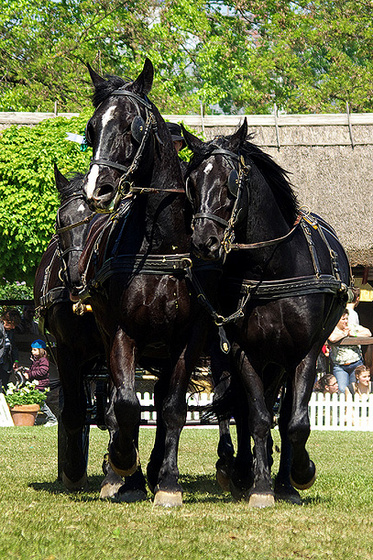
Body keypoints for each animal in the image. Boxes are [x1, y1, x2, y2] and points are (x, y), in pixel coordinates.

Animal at [34, 168, 146, 500]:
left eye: (98, 219)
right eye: (61, 220)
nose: (74, 274)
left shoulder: (116, 344)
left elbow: (117, 410)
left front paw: (119, 472)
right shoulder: (65, 350)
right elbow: (72, 410)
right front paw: (72, 470)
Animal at [77, 59, 218, 506]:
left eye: (132, 126)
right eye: (91, 128)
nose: (97, 190)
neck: (161, 244)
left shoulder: (189, 337)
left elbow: (172, 408)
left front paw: (167, 482)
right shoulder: (123, 332)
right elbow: (124, 406)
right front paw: (122, 464)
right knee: (114, 404)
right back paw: (123, 474)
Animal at [182, 122, 350, 508]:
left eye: (229, 181)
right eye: (193, 181)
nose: (202, 242)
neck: (270, 270)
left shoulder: (304, 354)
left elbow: (295, 421)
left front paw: (298, 474)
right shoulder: (243, 352)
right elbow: (256, 417)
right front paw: (259, 485)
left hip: (281, 361)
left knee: (283, 413)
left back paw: (283, 476)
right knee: (241, 409)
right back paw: (241, 468)